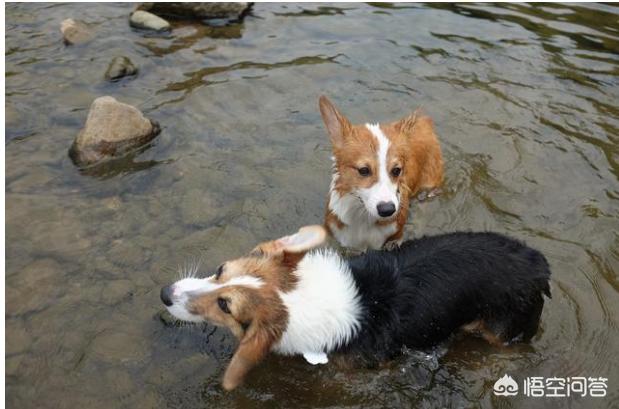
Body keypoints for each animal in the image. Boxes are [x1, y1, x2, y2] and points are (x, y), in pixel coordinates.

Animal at [160, 225, 552, 390]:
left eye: (225, 305)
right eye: (220, 269)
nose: (165, 293)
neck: (303, 298)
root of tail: (538, 266)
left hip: (502, 332)